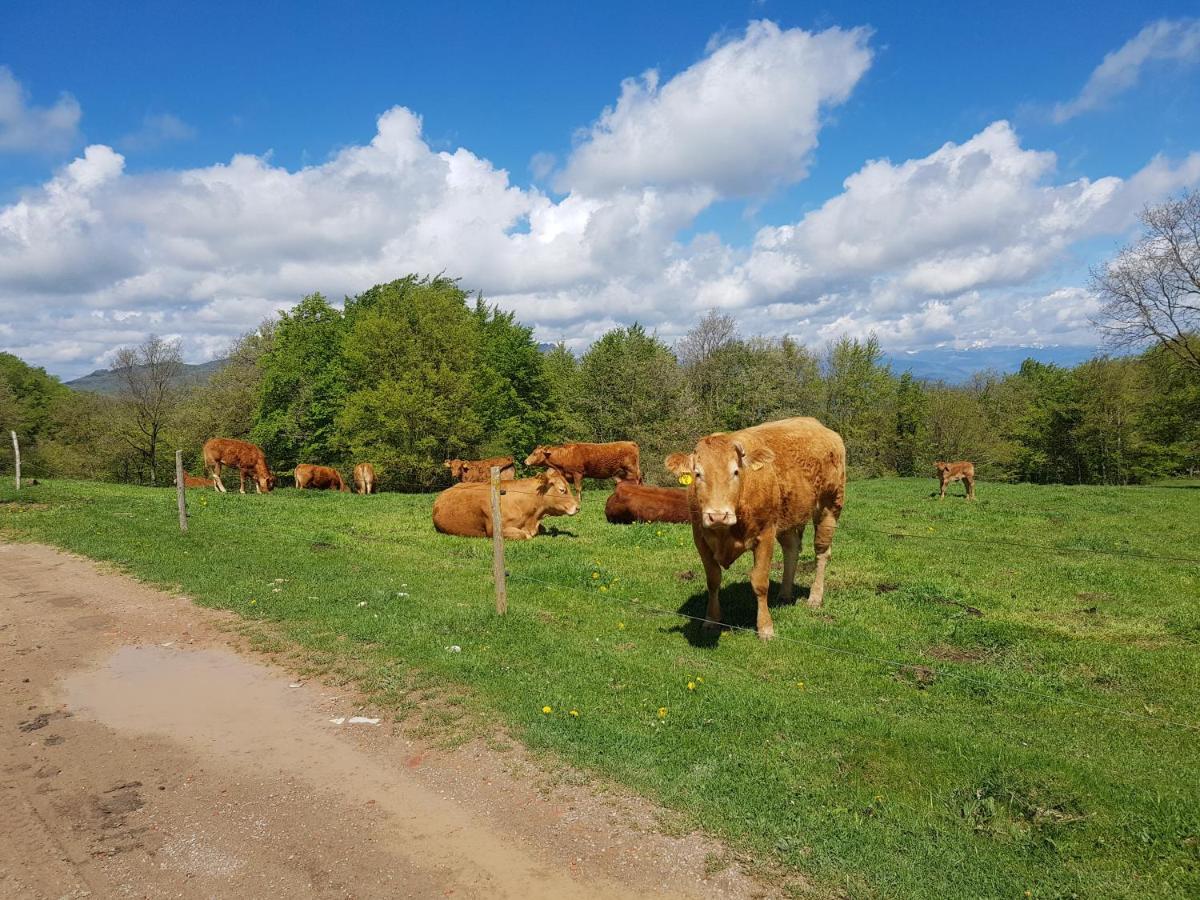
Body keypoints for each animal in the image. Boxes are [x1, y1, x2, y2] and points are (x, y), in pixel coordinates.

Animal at [662, 417, 849, 643]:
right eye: (698, 474)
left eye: (735, 471)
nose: (718, 515)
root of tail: (819, 426)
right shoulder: (700, 538)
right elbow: (713, 580)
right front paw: (711, 620)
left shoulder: (766, 534)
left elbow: (760, 582)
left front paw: (765, 628)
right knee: (792, 549)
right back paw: (785, 594)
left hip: (830, 506)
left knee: (821, 552)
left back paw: (815, 597)